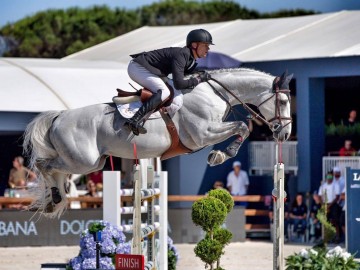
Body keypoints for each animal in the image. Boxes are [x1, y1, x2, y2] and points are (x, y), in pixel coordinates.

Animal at [23, 67, 292, 217]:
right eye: (284, 102)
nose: (285, 134)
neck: (214, 93)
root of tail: (59, 116)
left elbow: (242, 127)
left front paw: (220, 154)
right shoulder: (204, 133)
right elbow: (243, 126)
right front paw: (219, 156)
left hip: (91, 162)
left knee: (55, 171)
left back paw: (53, 201)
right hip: (83, 161)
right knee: (45, 166)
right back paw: (54, 198)